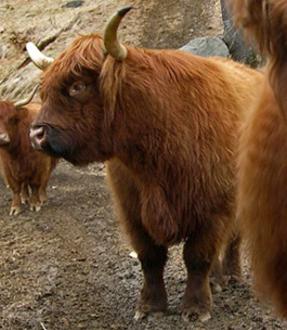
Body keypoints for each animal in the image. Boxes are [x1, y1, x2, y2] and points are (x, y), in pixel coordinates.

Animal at [0, 87, 58, 215]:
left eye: (11, 119)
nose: (2, 138)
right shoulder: (7, 168)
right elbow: (15, 187)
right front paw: (15, 207)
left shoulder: (39, 165)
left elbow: (35, 185)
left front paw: (35, 204)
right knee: (25, 183)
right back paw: (25, 198)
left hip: (51, 161)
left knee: (44, 181)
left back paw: (43, 198)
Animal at [26, 7, 264, 322]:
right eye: (44, 90)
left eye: (78, 86)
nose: (35, 134)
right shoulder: (132, 210)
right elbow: (150, 258)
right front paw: (151, 306)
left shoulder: (214, 208)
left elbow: (197, 256)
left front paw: (196, 308)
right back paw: (216, 281)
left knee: (234, 240)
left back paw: (232, 277)